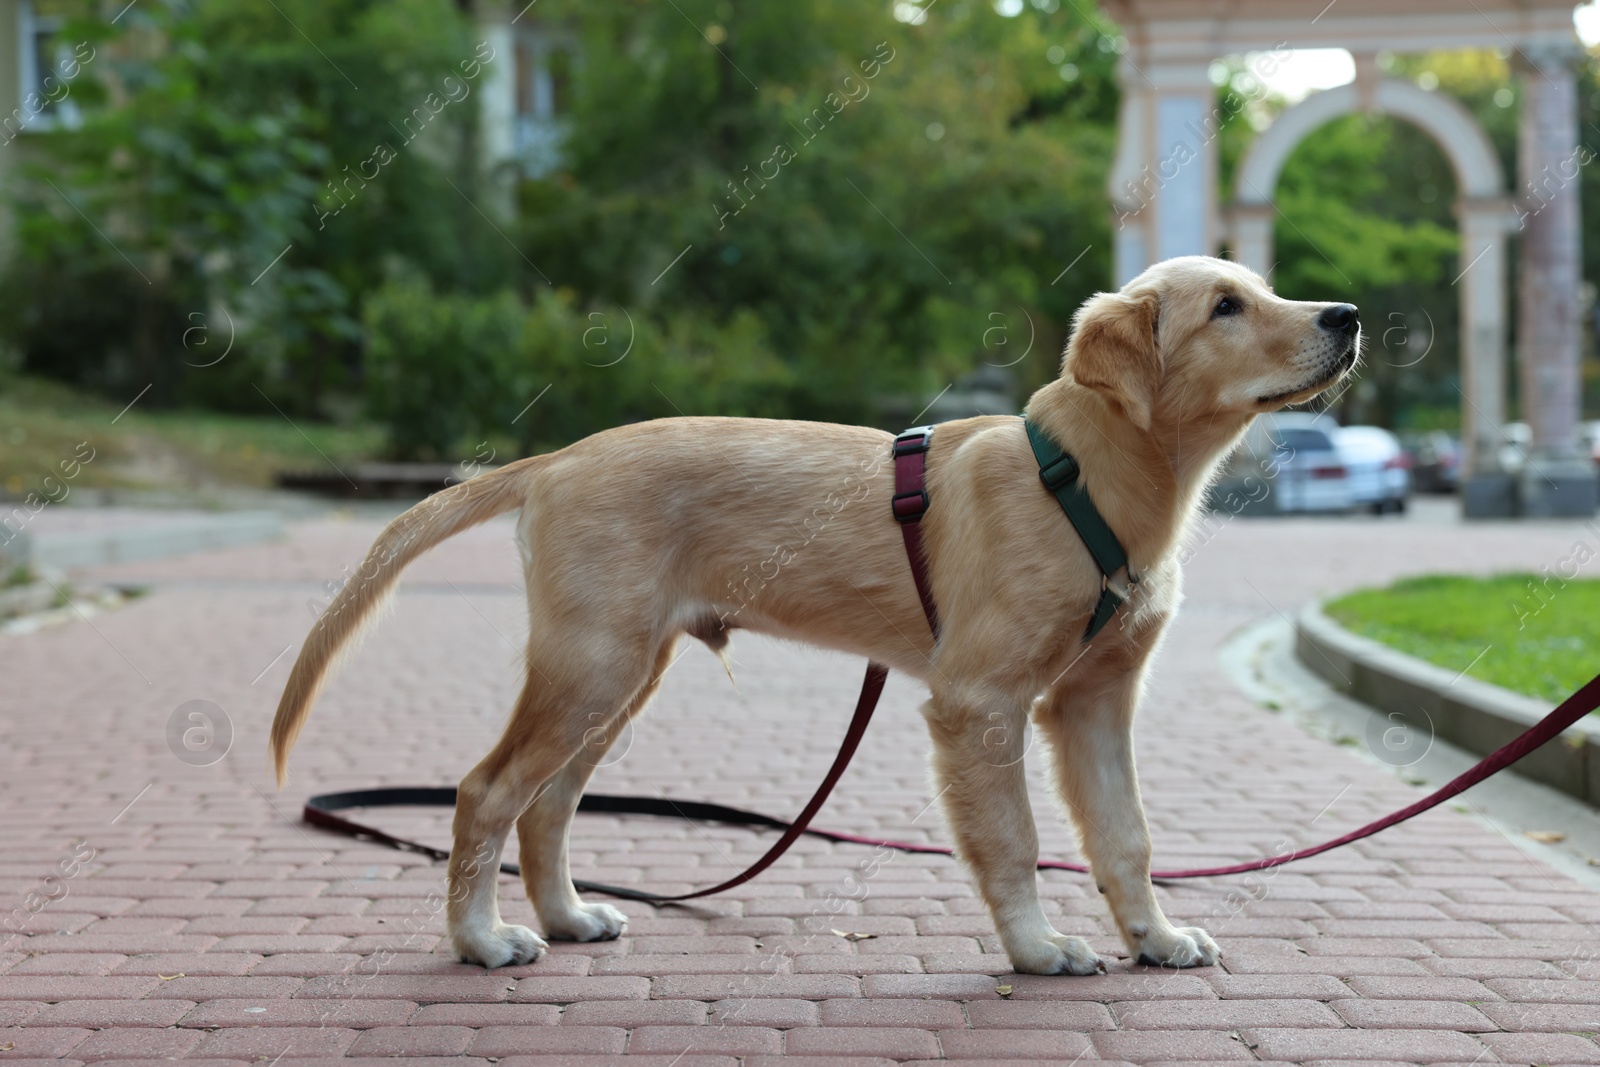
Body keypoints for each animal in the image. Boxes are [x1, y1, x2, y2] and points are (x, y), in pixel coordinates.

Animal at [268, 255, 1356, 979]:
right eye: (1226, 306)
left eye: (1261, 288)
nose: (1347, 313)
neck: (1086, 478)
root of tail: (556, 457)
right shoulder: (980, 701)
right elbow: (1010, 838)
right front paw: (1038, 946)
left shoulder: (1093, 701)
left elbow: (1125, 834)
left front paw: (1156, 938)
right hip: (591, 665)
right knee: (487, 789)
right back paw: (481, 939)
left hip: (620, 676)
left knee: (547, 801)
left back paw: (569, 916)